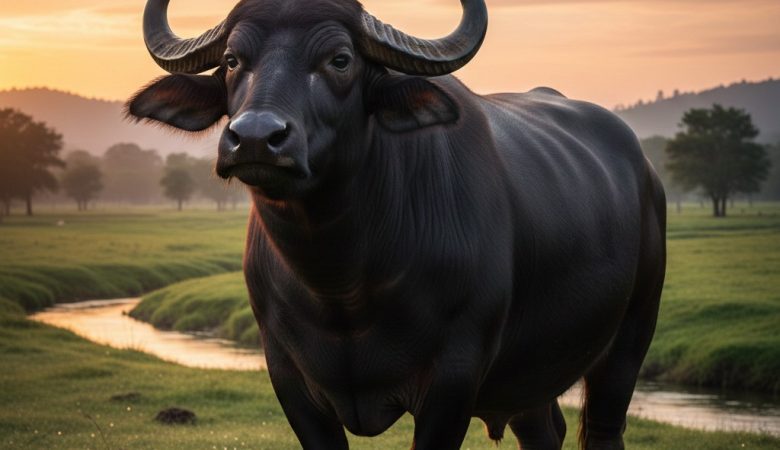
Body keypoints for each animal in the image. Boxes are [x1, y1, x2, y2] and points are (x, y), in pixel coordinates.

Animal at [128, 0, 666, 449]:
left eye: (340, 59)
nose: (257, 138)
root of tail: (645, 171)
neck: (342, 282)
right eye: (233, 60)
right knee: (543, 430)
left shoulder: (454, 379)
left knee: (603, 427)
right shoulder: (288, 377)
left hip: (630, 338)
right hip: (530, 376)